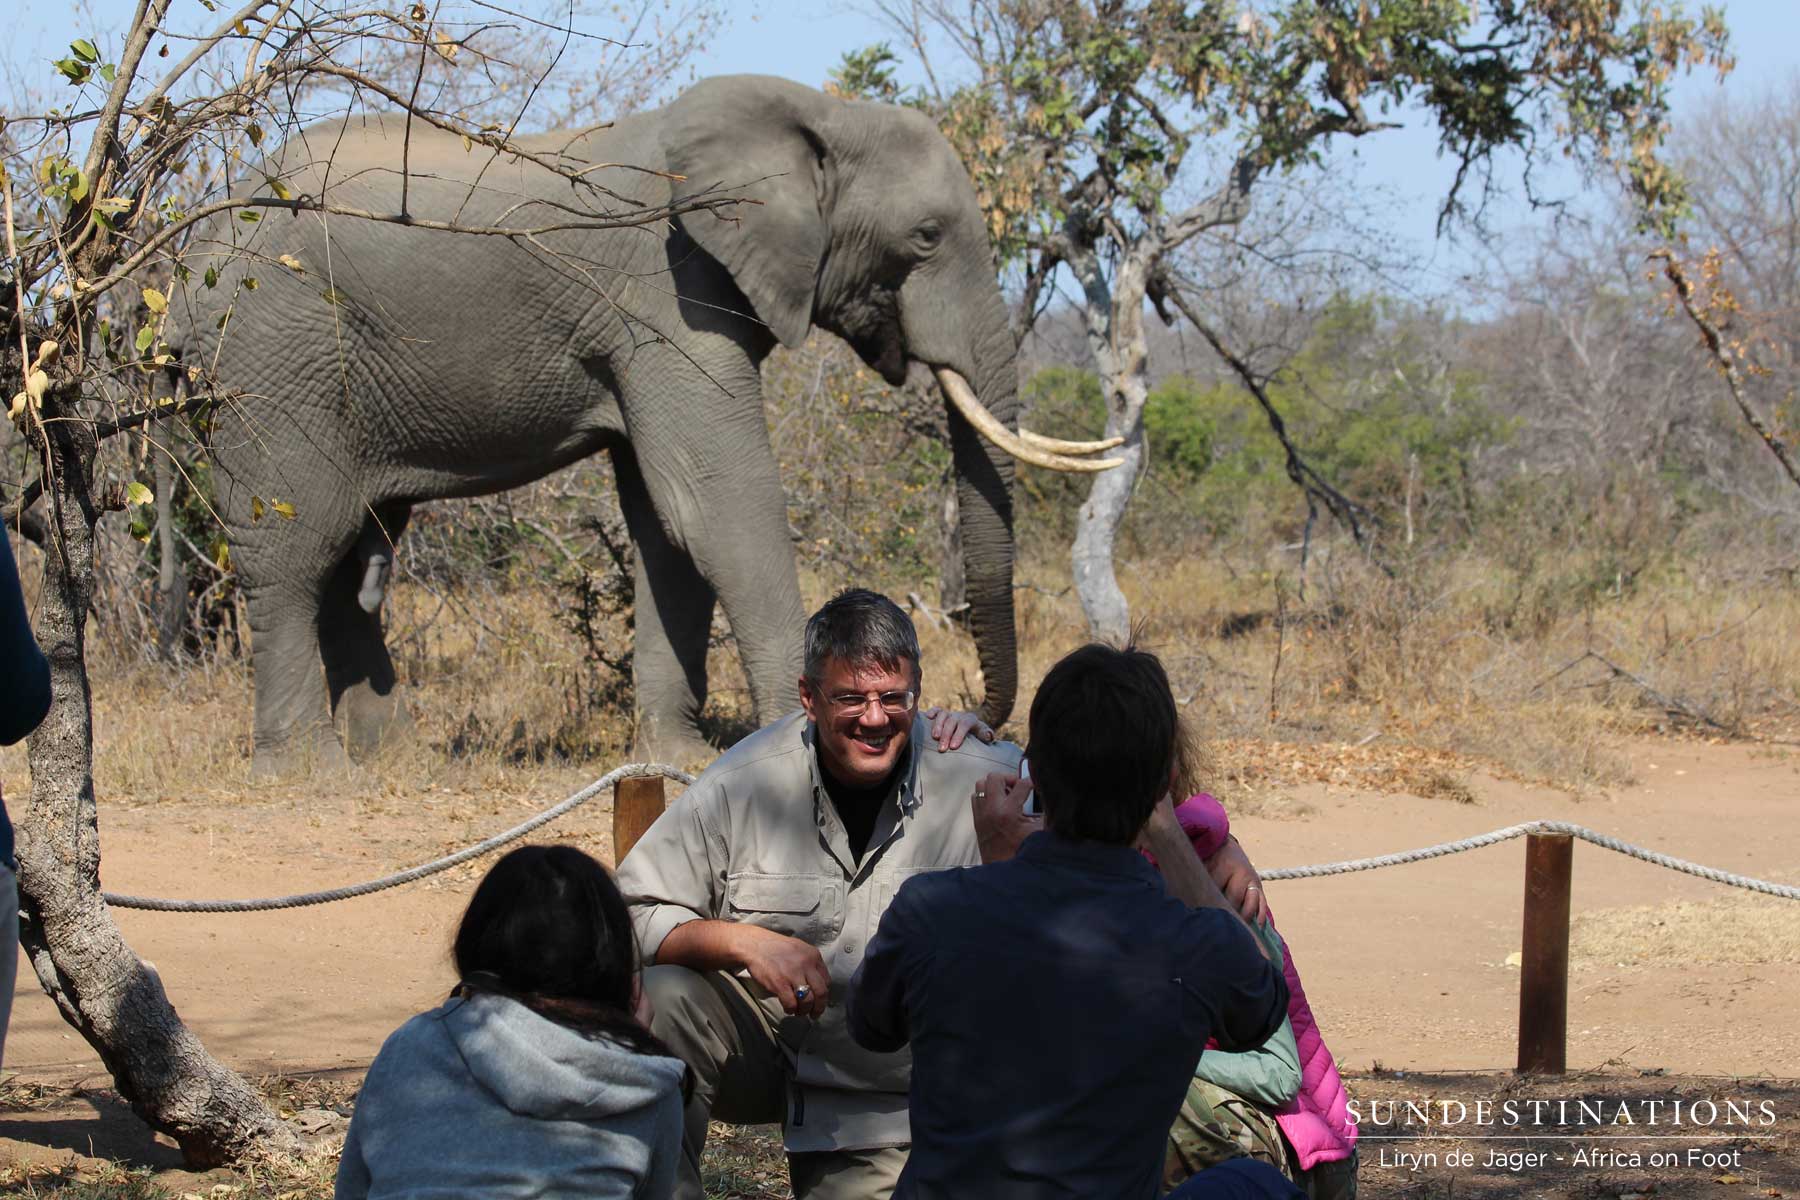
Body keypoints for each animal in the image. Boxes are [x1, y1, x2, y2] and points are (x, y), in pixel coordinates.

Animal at [162, 74, 1115, 773]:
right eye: (924, 237)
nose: (972, 721)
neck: (818, 112)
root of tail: (183, 256)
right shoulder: (669, 292)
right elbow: (717, 502)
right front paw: (788, 736)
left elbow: (666, 527)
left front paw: (678, 758)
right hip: (268, 360)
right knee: (294, 553)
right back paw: (311, 774)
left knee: (357, 560)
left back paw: (395, 759)